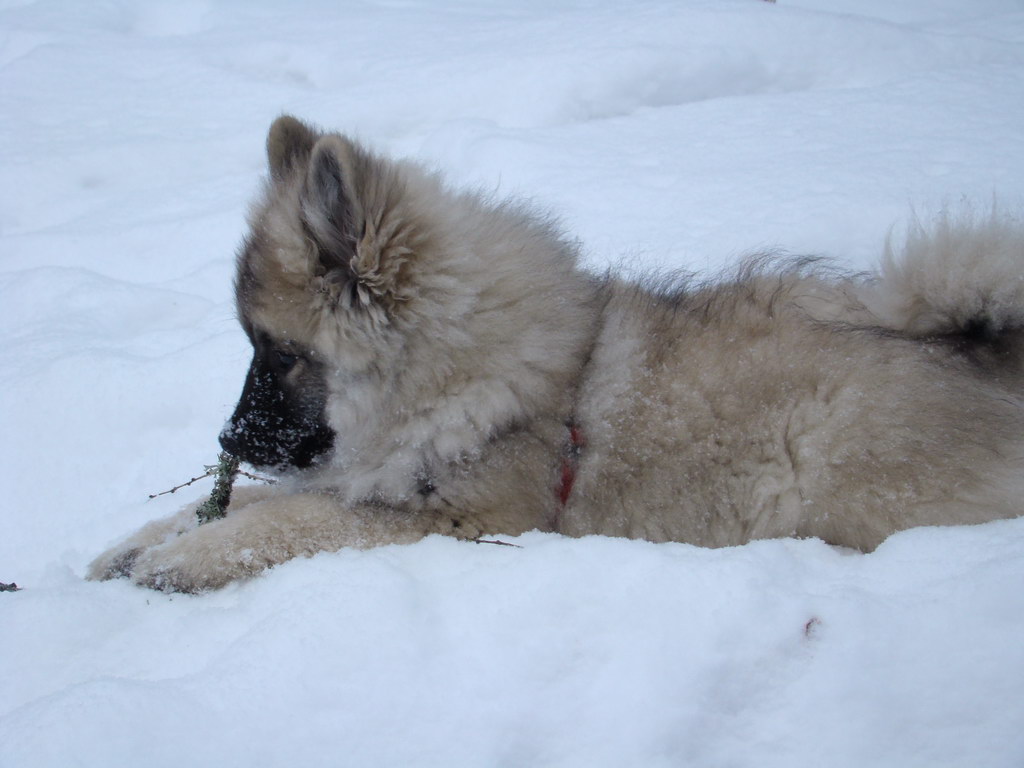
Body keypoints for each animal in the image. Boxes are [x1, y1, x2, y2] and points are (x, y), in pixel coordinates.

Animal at [90, 115, 1024, 593]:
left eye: (279, 353)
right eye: (254, 347)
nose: (228, 441)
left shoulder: (462, 520)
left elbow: (293, 519)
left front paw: (184, 557)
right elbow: (251, 502)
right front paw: (139, 540)